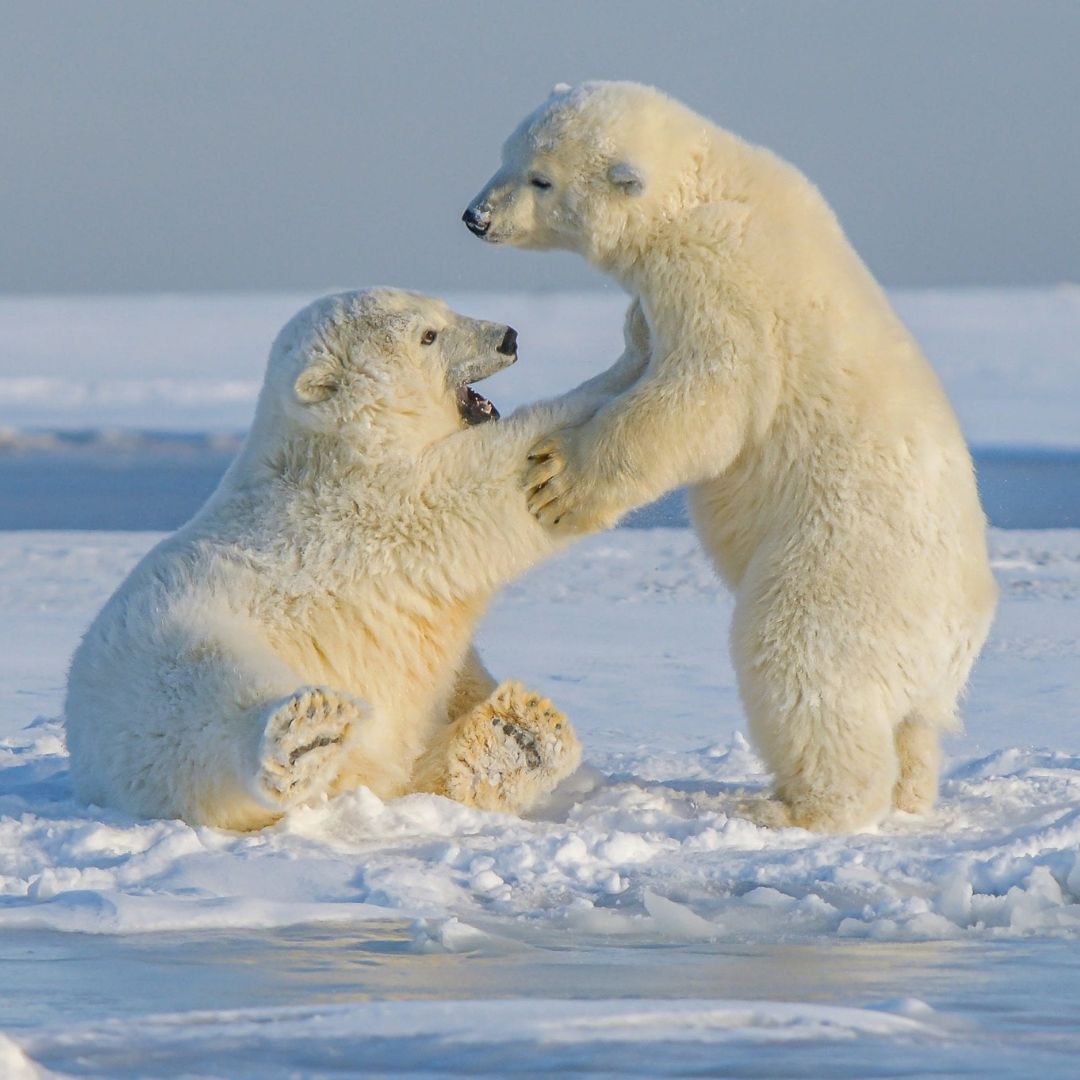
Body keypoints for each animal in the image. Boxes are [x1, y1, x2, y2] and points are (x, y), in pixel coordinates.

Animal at [64, 287, 649, 830]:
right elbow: (489, 482)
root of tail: (87, 758)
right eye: (428, 335)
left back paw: (519, 733)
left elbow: (452, 672)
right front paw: (636, 355)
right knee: (209, 697)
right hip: (170, 653)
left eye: (444, 307)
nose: (508, 337)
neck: (334, 447)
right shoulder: (379, 503)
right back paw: (307, 735)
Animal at [463, 81, 998, 832]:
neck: (710, 184)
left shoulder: (720, 277)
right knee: (914, 724)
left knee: (800, 663)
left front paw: (558, 481)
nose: (475, 217)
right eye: (507, 154)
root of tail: (960, 631)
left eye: (541, 178)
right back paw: (911, 792)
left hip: (843, 567)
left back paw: (794, 807)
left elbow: (706, 395)